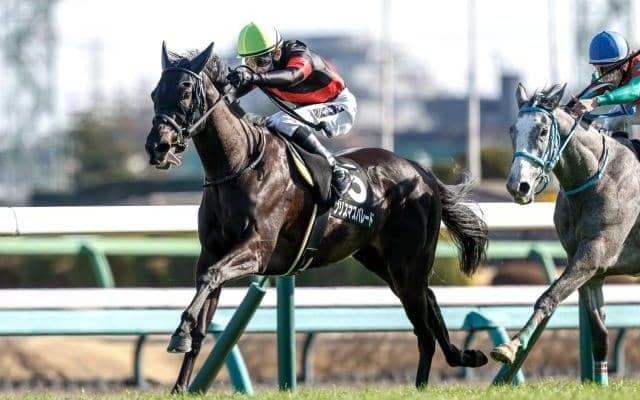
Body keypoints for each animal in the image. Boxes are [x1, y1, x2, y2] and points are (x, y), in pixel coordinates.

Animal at [144, 42, 489, 392]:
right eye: (155, 92)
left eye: (186, 90)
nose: (158, 147)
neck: (240, 165)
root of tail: (422, 172)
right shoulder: (213, 251)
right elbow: (205, 295)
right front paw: (181, 382)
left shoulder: (257, 250)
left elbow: (211, 277)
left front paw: (180, 334)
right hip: (381, 261)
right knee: (429, 302)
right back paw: (463, 357)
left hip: (408, 262)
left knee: (423, 327)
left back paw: (426, 380)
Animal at [491, 83, 640, 385]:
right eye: (513, 130)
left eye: (542, 131)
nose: (518, 186)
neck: (595, 178)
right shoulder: (590, 268)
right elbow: (599, 335)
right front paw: (600, 383)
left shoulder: (593, 253)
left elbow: (548, 298)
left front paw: (511, 345)